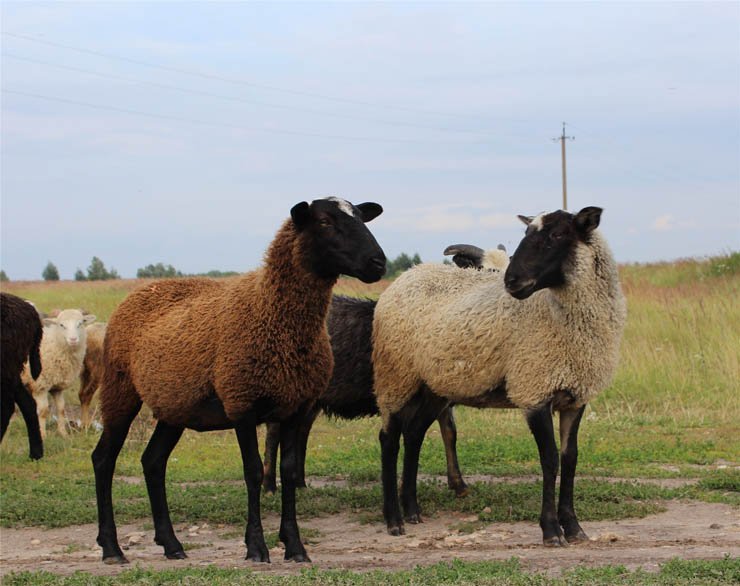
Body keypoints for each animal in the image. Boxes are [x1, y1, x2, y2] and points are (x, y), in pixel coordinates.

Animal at [21, 309, 96, 439]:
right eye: (61, 325)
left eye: (80, 323)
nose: (73, 339)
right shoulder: (40, 386)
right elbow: (43, 411)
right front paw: (42, 434)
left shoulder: (57, 387)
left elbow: (61, 409)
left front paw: (63, 433)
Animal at [92, 197, 386, 565]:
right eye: (323, 222)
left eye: (360, 216)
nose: (378, 262)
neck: (272, 313)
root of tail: (143, 289)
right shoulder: (242, 403)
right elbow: (254, 472)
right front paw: (256, 547)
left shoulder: (297, 407)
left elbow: (288, 471)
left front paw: (295, 546)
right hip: (119, 388)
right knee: (104, 460)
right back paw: (112, 548)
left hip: (174, 403)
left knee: (153, 461)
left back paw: (171, 544)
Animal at [262, 295, 469, 498]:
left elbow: (450, 433)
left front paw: (459, 485)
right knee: (274, 433)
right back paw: (270, 487)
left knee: (301, 430)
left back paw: (300, 483)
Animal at [372, 206, 627, 546]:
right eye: (526, 234)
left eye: (558, 234)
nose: (511, 280)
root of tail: (407, 275)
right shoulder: (534, 389)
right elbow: (550, 459)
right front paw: (550, 530)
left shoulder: (576, 396)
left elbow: (570, 458)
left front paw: (573, 527)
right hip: (395, 376)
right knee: (389, 439)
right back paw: (394, 520)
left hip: (433, 386)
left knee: (413, 434)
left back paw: (412, 510)